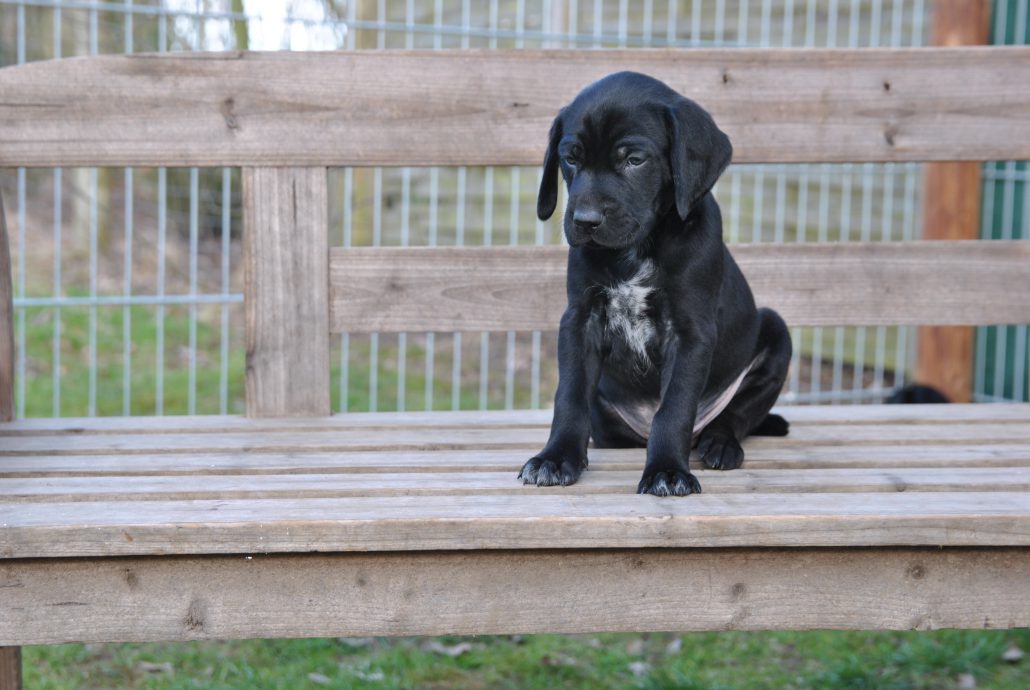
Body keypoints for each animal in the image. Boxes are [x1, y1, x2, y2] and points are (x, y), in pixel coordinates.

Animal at [518, 72, 792, 497]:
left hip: (777, 332)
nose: (585, 220)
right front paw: (556, 457)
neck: (636, 251)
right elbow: (570, 396)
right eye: (571, 158)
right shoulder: (580, 321)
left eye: (634, 160)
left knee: (738, 413)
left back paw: (720, 443)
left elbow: (674, 408)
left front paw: (666, 469)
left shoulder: (689, 332)